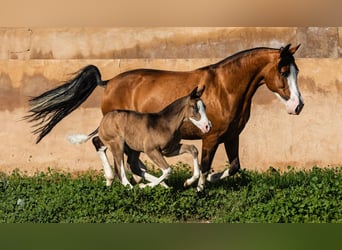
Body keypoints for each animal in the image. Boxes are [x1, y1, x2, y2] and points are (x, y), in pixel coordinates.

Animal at [67, 87, 211, 188]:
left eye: (205, 106)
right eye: (194, 107)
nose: (207, 126)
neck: (166, 124)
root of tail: (103, 120)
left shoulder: (169, 150)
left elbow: (193, 149)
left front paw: (188, 182)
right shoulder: (151, 150)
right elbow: (168, 170)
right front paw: (146, 186)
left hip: (131, 148)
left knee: (129, 163)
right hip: (118, 143)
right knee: (120, 168)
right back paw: (131, 186)